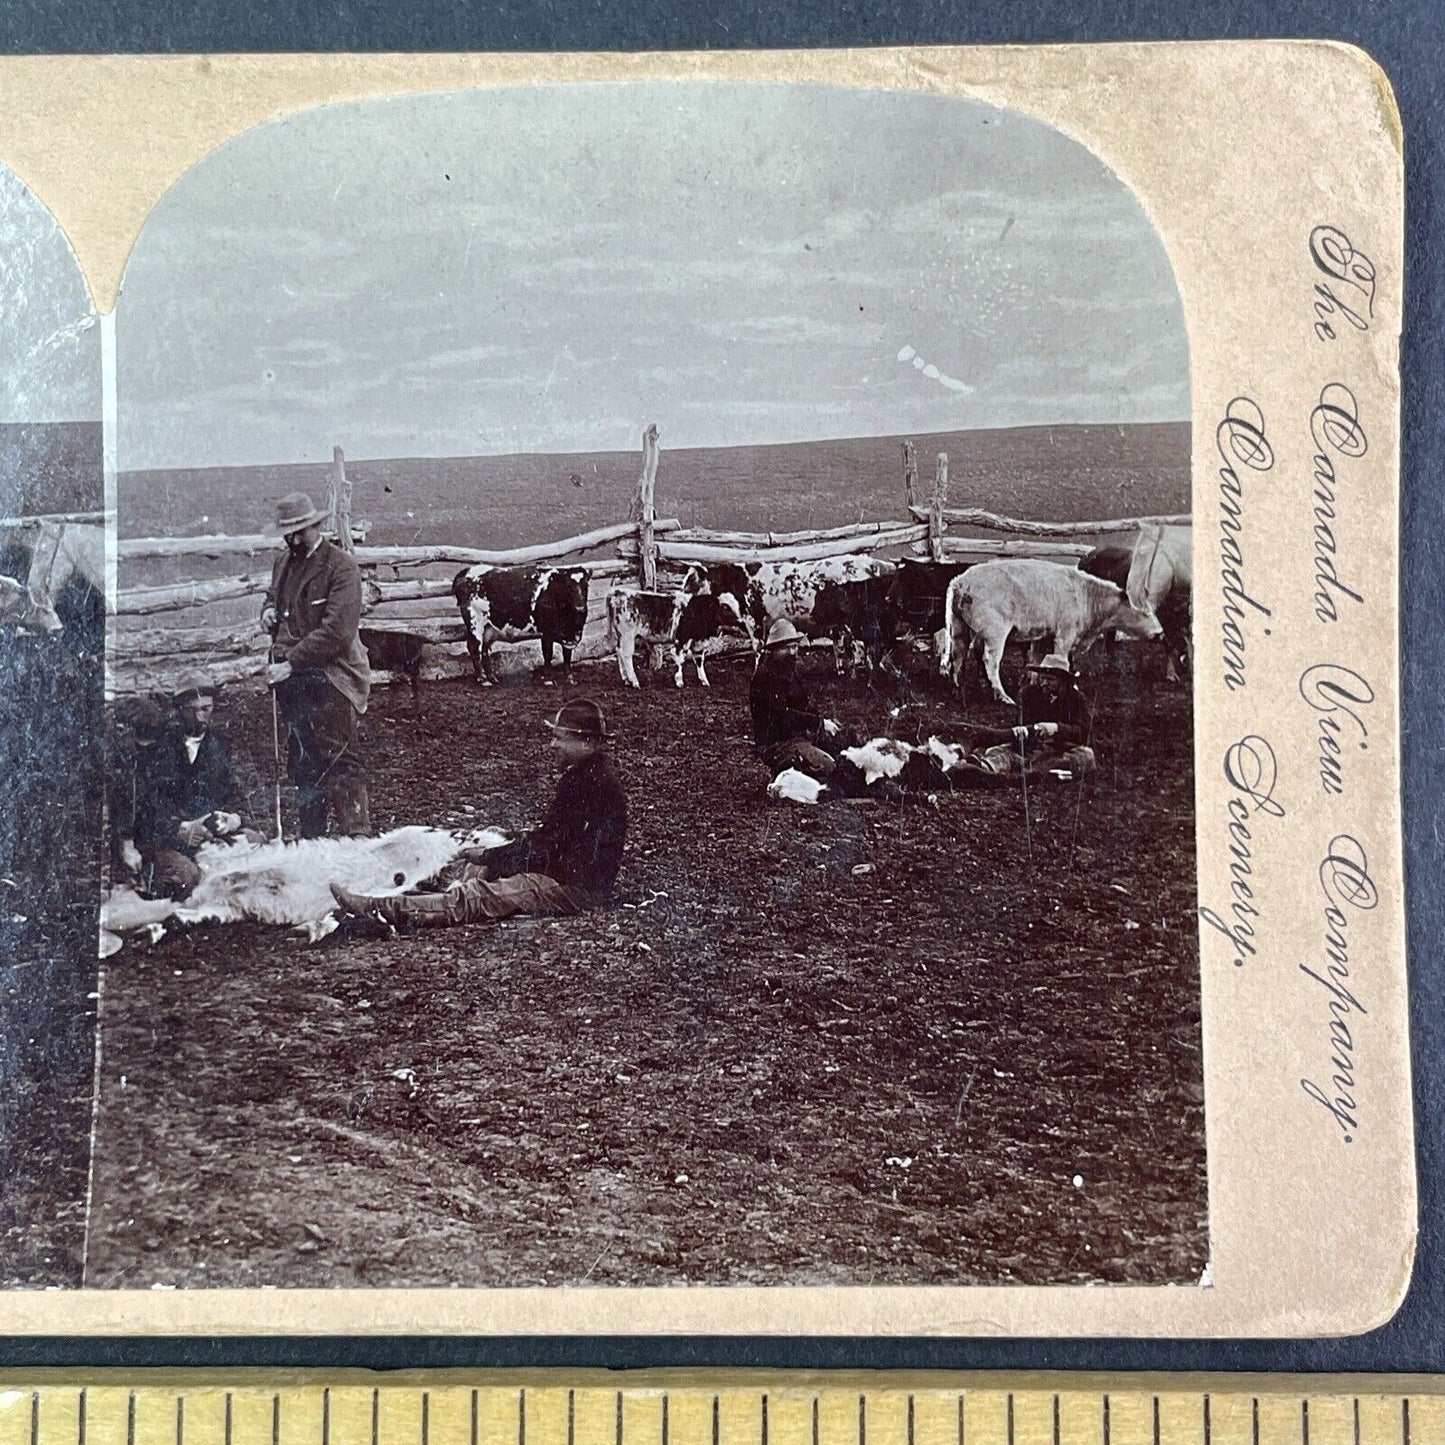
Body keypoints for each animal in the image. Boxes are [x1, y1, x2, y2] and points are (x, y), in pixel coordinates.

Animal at [447, 560, 589, 684]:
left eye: (585, 585)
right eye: (569, 586)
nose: (580, 607)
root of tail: (467, 572)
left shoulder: (569, 636)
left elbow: (567, 656)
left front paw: (570, 678)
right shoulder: (547, 632)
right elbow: (548, 654)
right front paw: (548, 678)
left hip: (488, 628)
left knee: (484, 650)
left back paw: (492, 678)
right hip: (475, 623)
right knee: (474, 647)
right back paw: (482, 679)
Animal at [606, 580, 751, 687]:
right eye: (725, 607)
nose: (741, 620)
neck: (698, 610)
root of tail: (617, 593)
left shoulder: (698, 642)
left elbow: (699, 660)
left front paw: (704, 680)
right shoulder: (683, 640)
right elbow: (680, 658)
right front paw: (679, 681)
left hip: (620, 636)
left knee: (619, 652)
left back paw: (626, 679)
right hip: (627, 635)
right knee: (626, 655)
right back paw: (634, 681)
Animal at [936, 557, 1161, 705]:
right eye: (1144, 612)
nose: (1160, 633)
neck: (1086, 594)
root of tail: (960, 582)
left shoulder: (1043, 637)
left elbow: (1036, 660)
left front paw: (1034, 684)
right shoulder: (1064, 635)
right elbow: (1060, 660)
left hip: (958, 629)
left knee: (958, 656)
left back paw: (958, 688)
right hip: (995, 634)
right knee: (989, 661)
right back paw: (1002, 696)